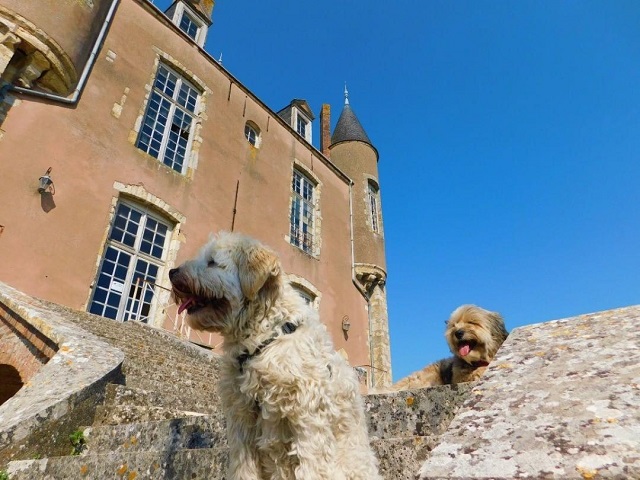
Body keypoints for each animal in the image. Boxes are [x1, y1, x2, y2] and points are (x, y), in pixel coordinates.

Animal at [169, 232, 380, 480]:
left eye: (212, 262)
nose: (172, 272)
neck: (266, 339)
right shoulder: (242, 420)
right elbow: (243, 469)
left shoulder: (309, 418)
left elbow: (312, 466)